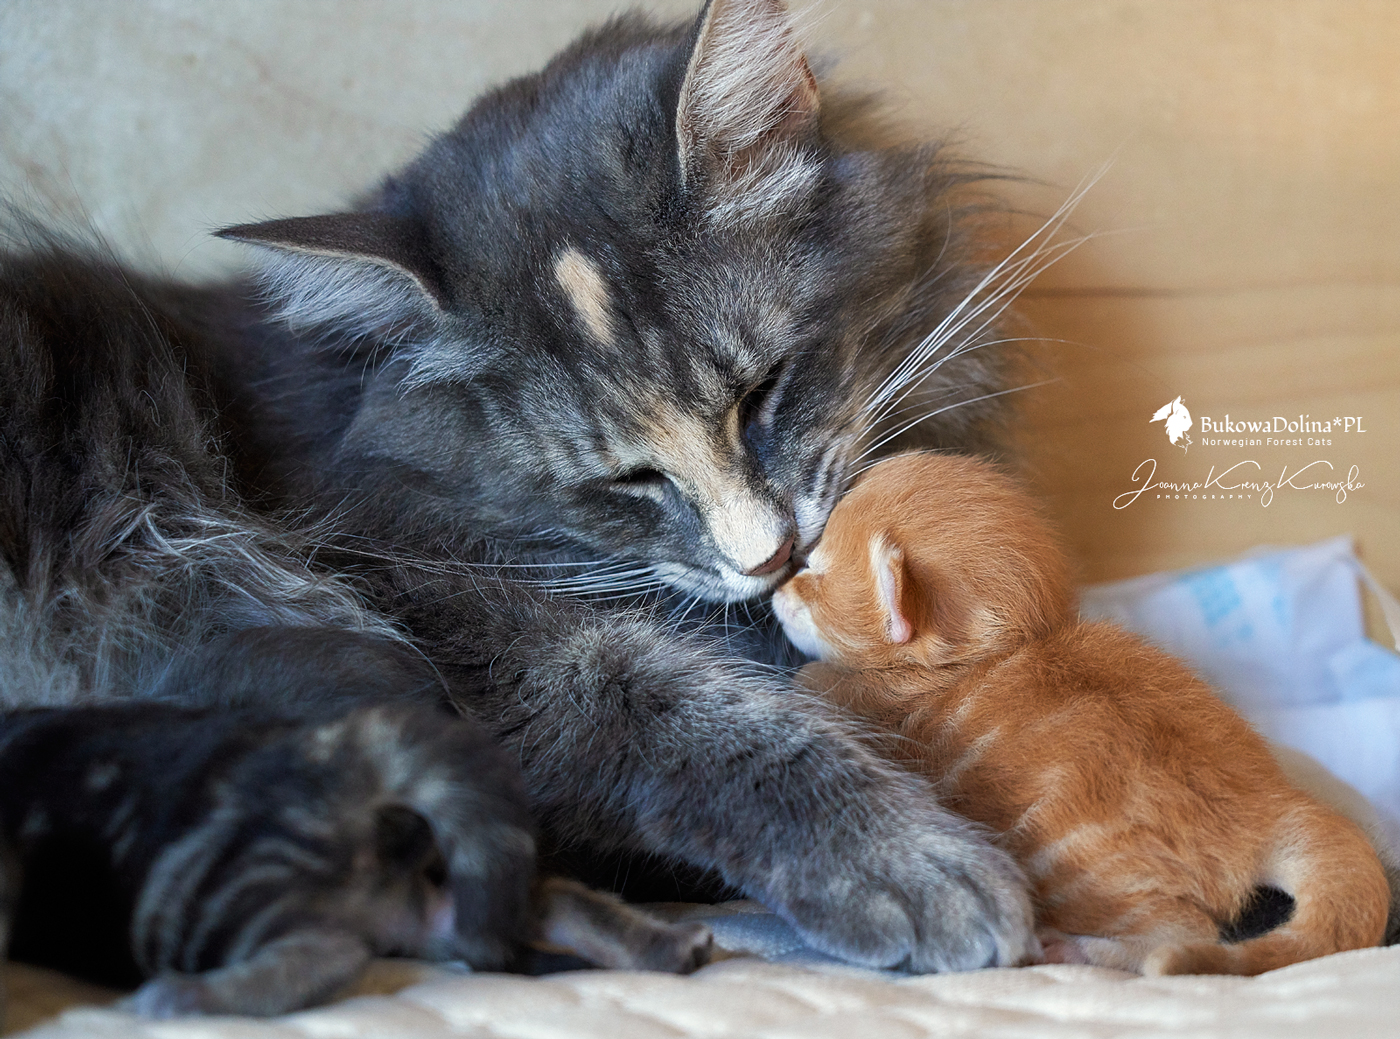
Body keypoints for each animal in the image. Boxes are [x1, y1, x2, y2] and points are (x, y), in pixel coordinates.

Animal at [0, 0, 1037, 976]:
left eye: (763, 392)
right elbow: (686, 716)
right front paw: (918, 865)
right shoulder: (469, 633)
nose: (769, 556)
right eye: (629, 477)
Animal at [0, 698, 712, 1020]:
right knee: (544, 900)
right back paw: (672, 947)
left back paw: (182, 997)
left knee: (327, 954)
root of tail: (349, 761)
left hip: (198, 895)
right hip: (427, 901)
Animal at [773, 451, 1390, 974]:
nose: (778, 589)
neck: (986, 655)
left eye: (816, 573)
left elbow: (816, 683)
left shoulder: (871, 702)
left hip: (1092, 872)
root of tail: (1267, 801)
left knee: (1181, 932)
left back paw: (1077, 949)